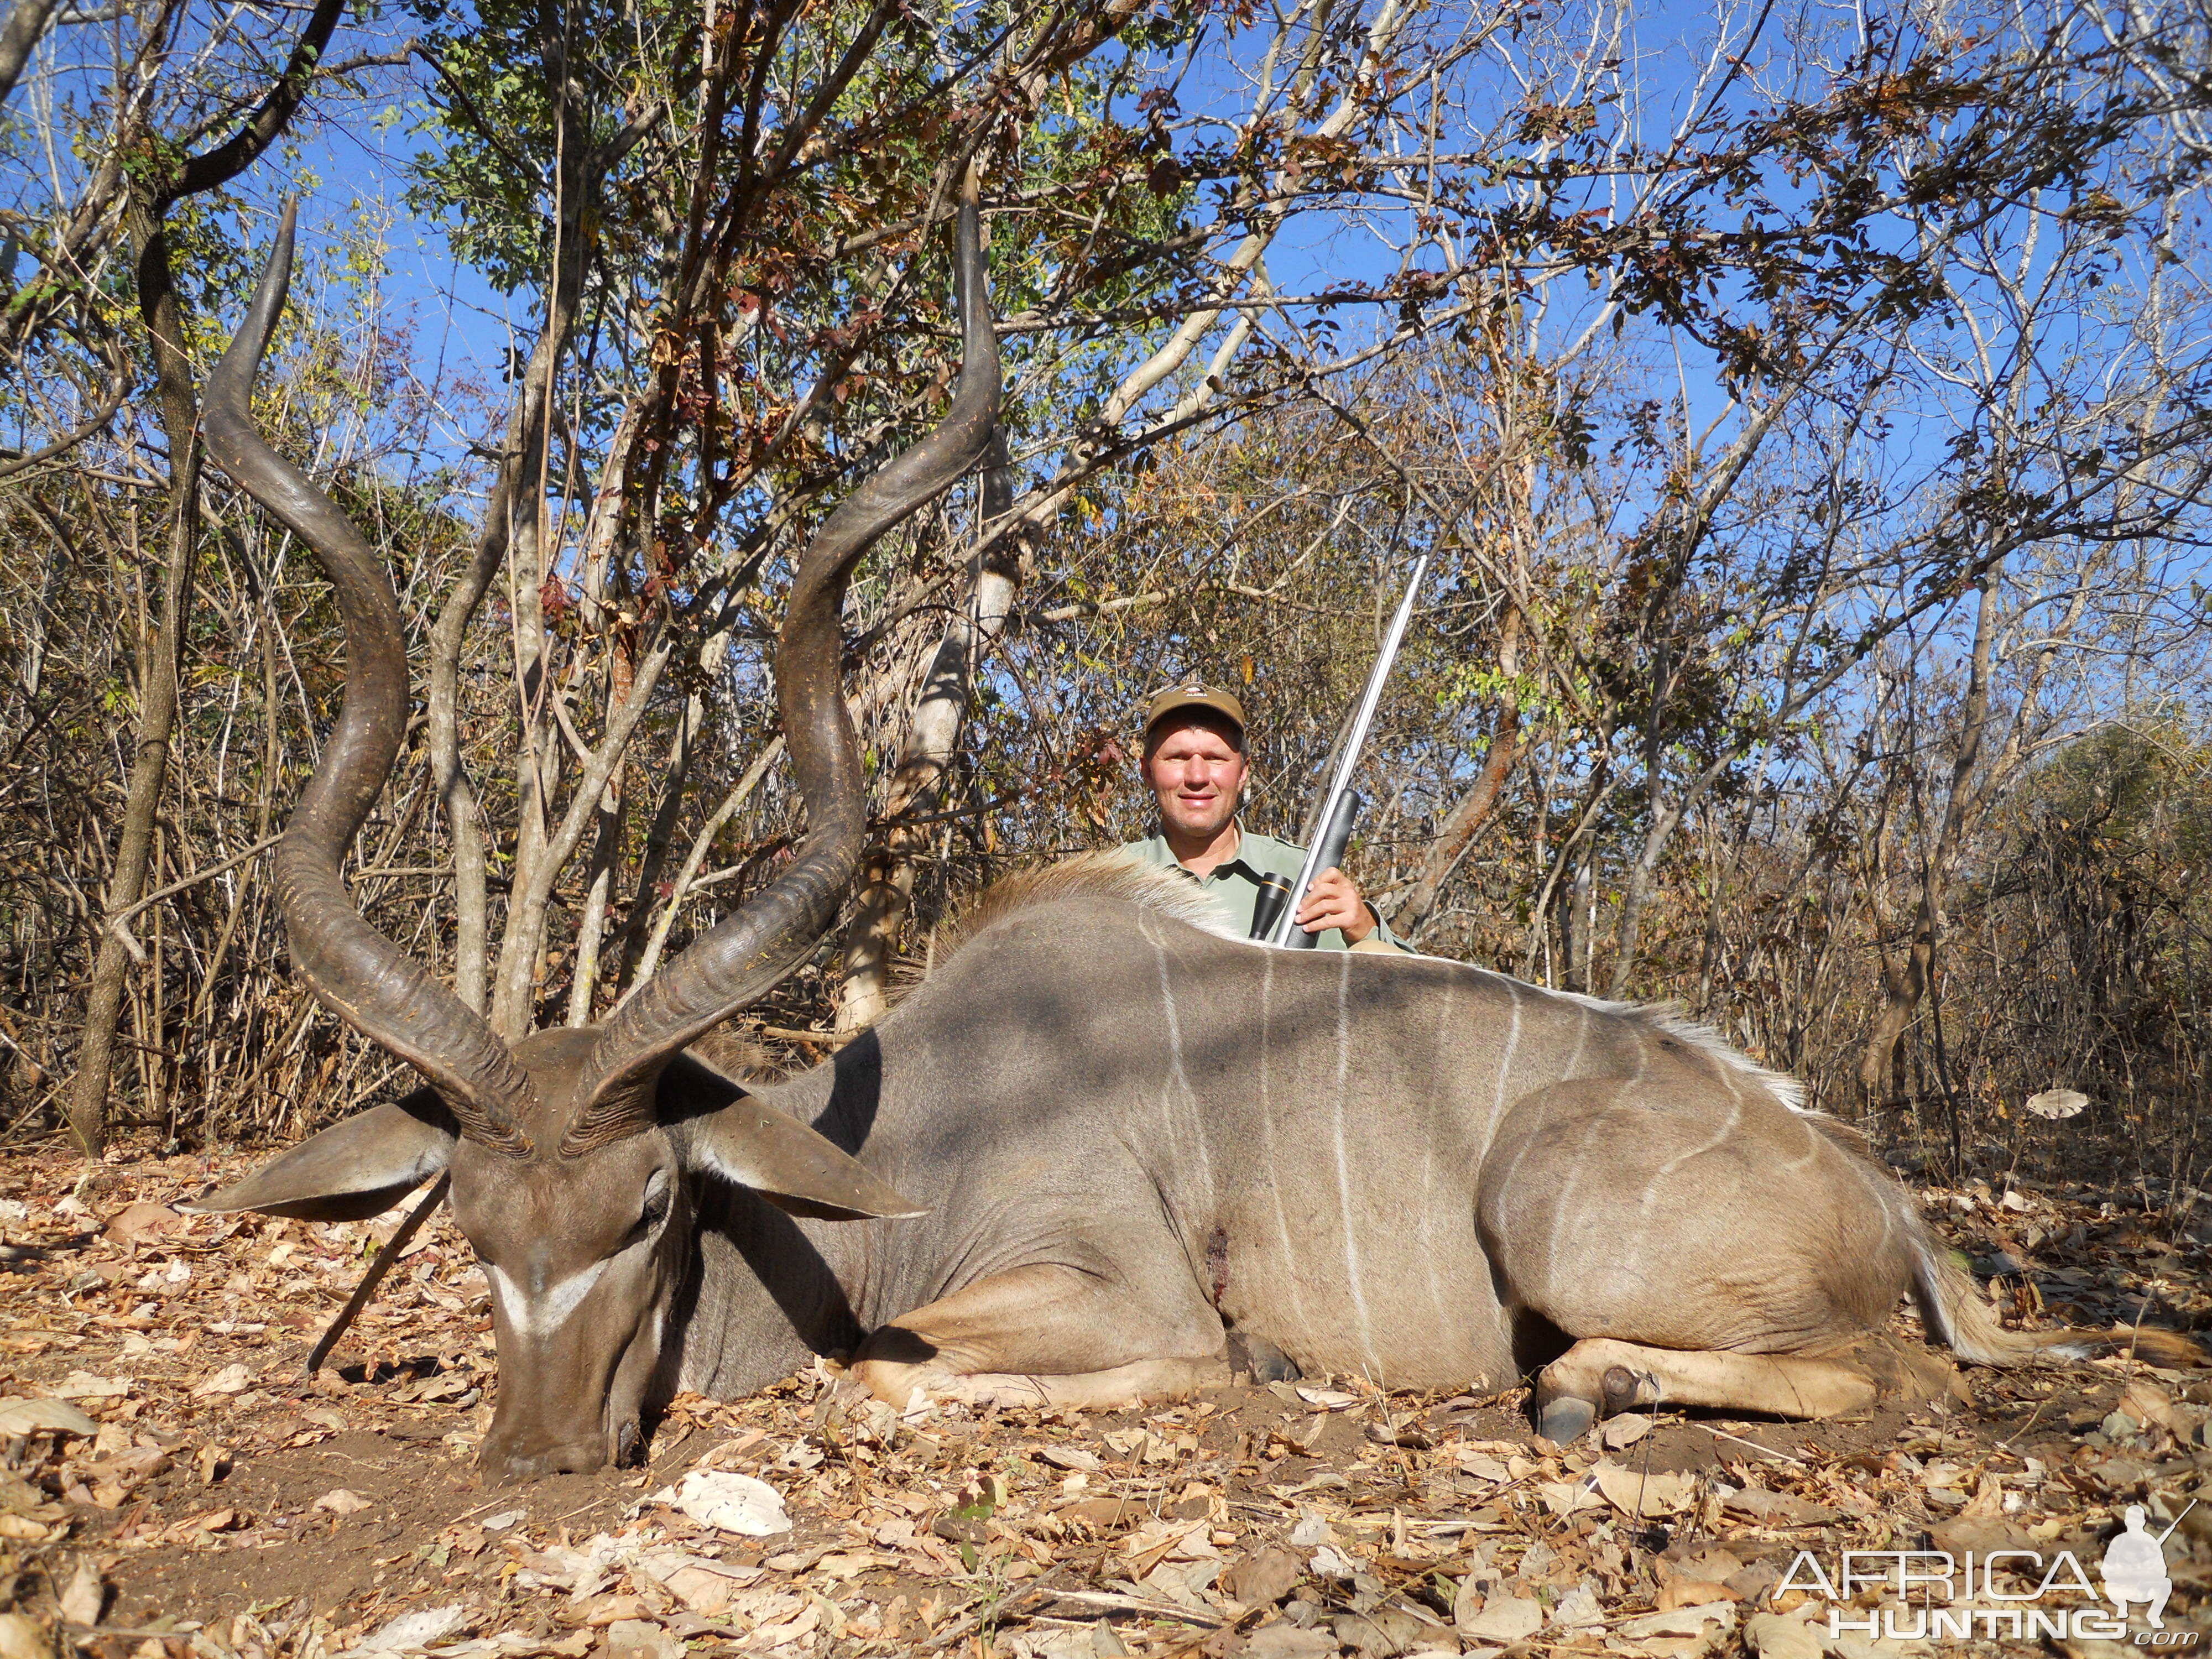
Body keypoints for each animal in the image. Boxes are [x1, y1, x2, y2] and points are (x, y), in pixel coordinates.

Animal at [190, 188, 2177, 1486]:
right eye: (465, 1226)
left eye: (655, 1205)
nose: (532, 1459)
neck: (910, 1135)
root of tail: (1886, 1198)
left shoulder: (1110, 1294)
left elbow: (902, 1376)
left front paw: (1261, 1366)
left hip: (1554, 1213)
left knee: (1889, 1384)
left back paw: (1579, 1392)